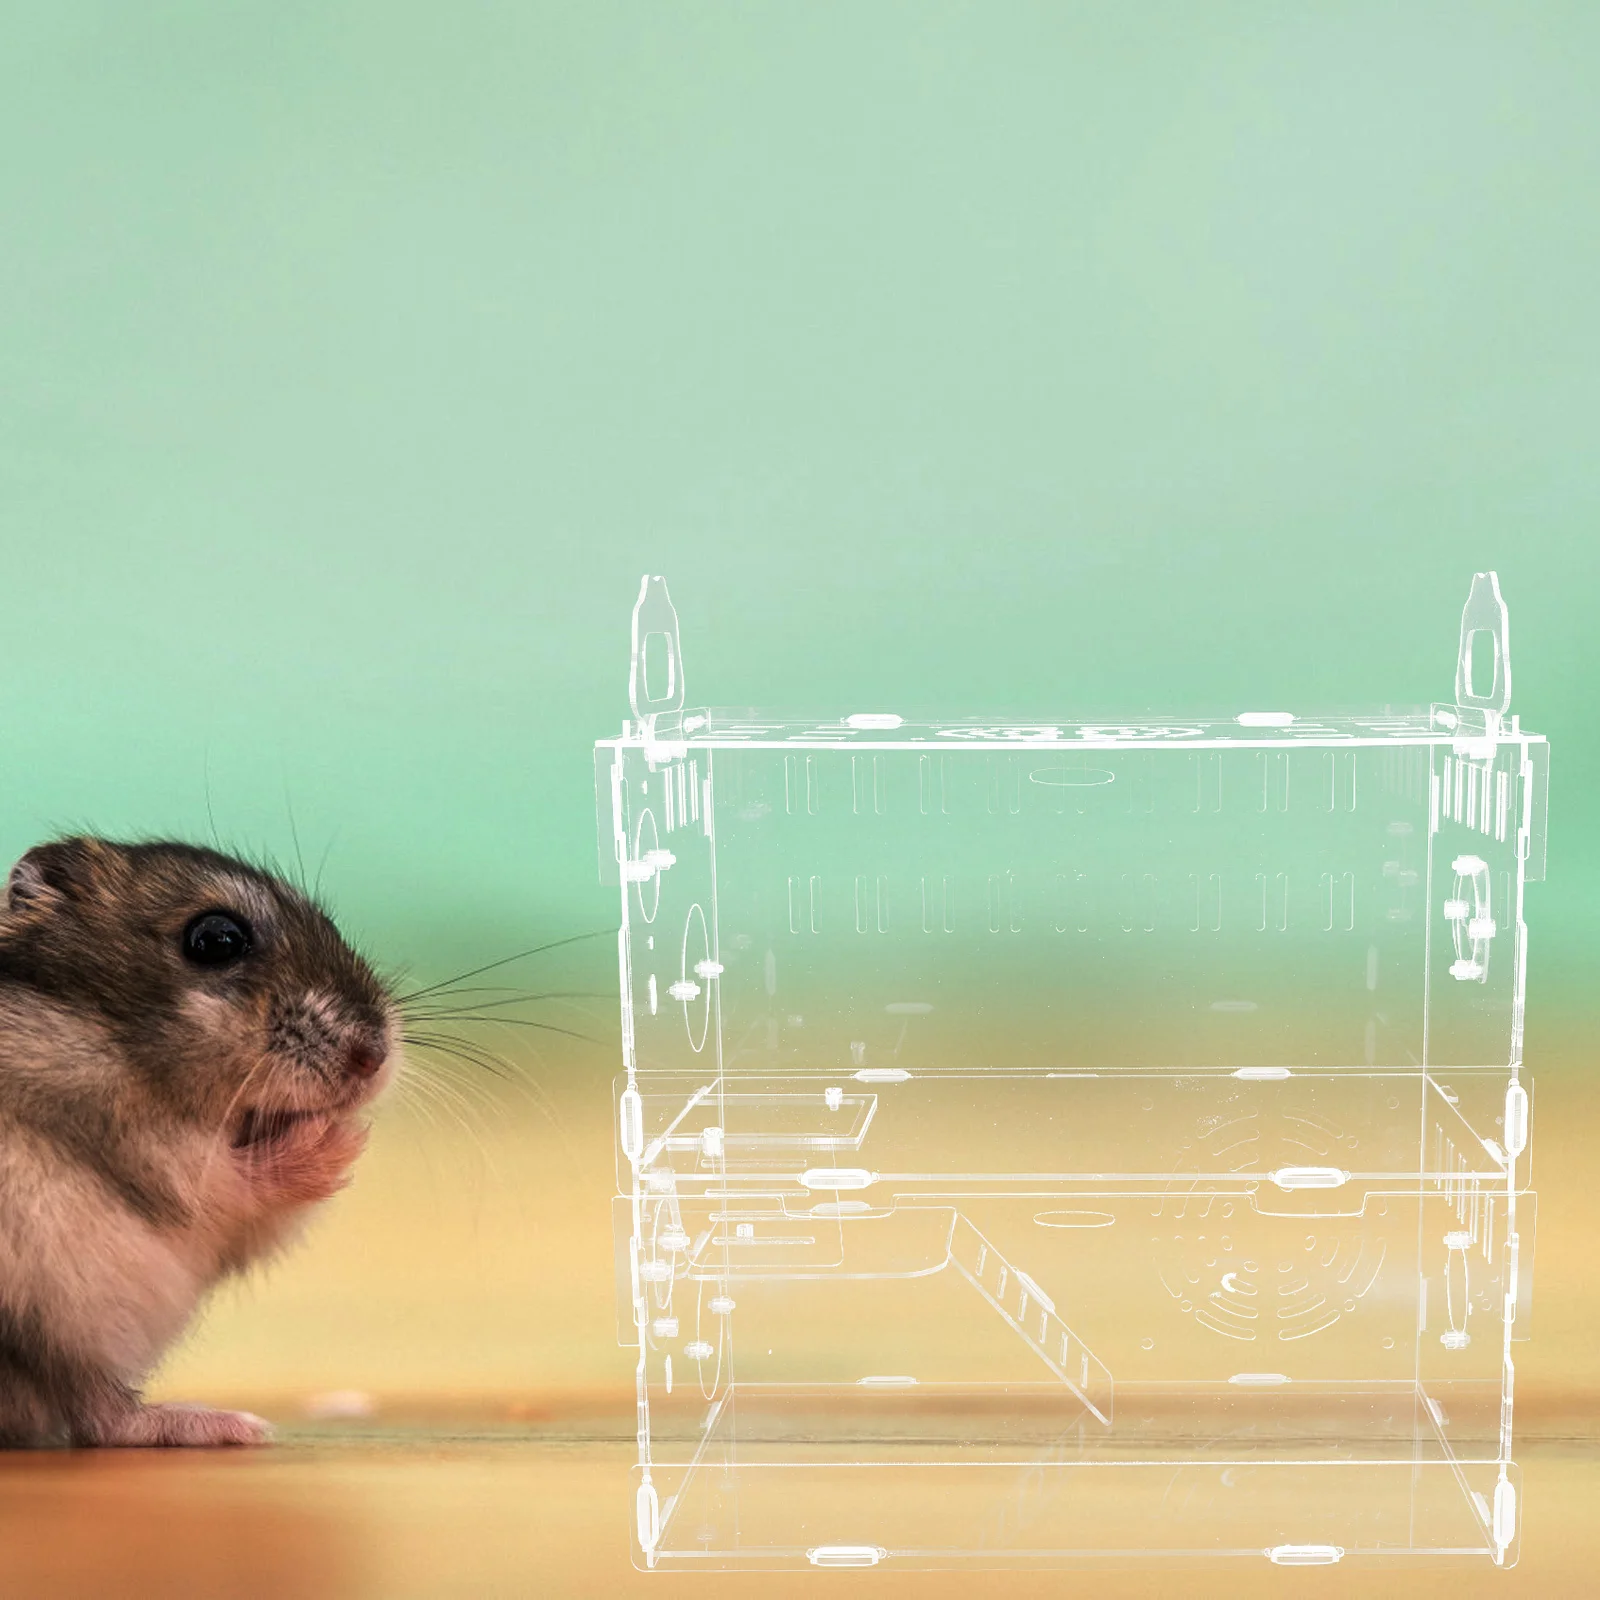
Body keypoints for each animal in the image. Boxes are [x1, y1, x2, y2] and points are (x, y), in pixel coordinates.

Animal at [0, 836, 398, 1447]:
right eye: (216, 940)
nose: (374, 1058)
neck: (110, 1037)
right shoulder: (137, 1139)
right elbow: (214, 1179)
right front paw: (333, 1139)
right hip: (63, 1291)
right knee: (100, 1413)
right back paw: (231, 1424)